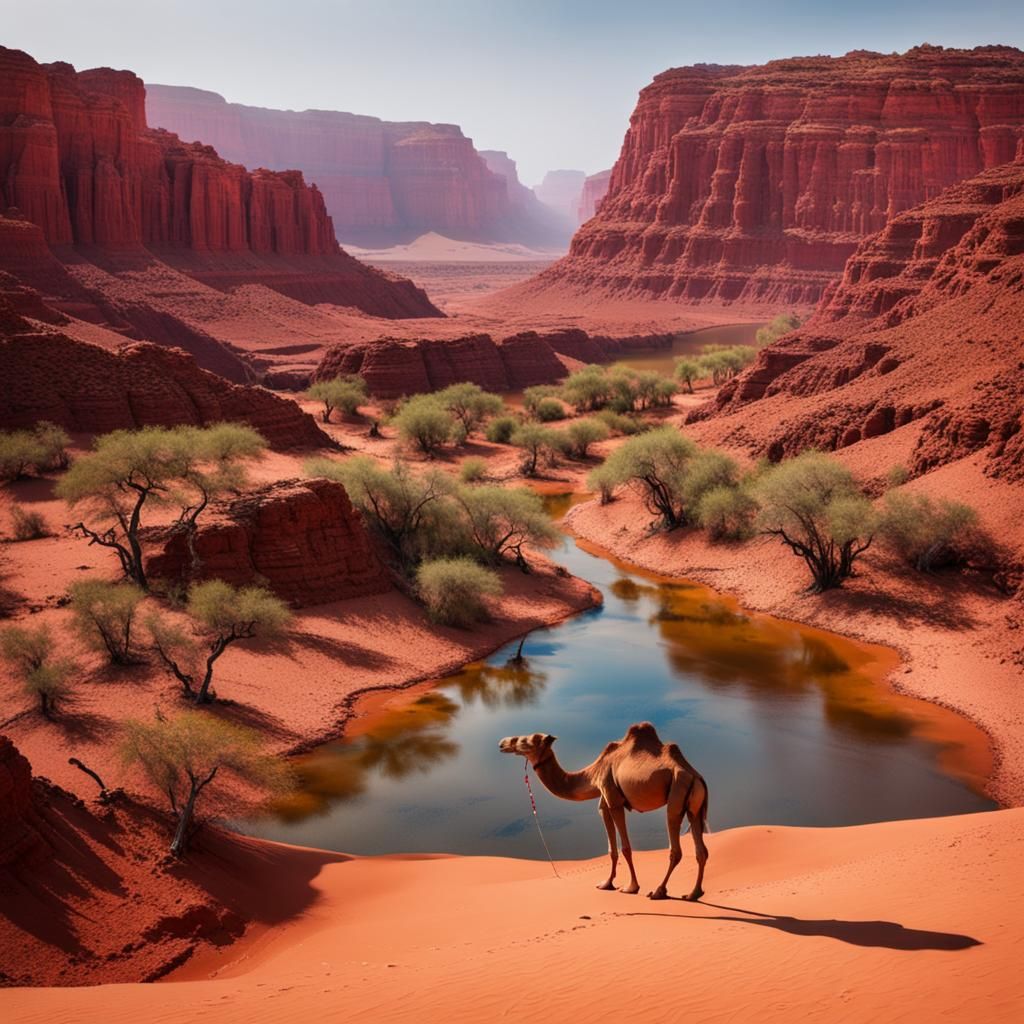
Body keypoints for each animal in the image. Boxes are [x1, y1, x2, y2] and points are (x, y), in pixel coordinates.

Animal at [498, 722, 709, 900]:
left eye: (525, 740)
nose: (503, 743)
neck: (594, 773)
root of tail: (696, 776)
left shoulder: (613, 799)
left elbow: (625, 848)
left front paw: (631, 887)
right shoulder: (604, 803)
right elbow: (611, 849)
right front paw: (606, 883)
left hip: (676, 794)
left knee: (676, 848)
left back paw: (658, 891)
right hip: (694, 808)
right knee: (701, 850)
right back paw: (693, 894)